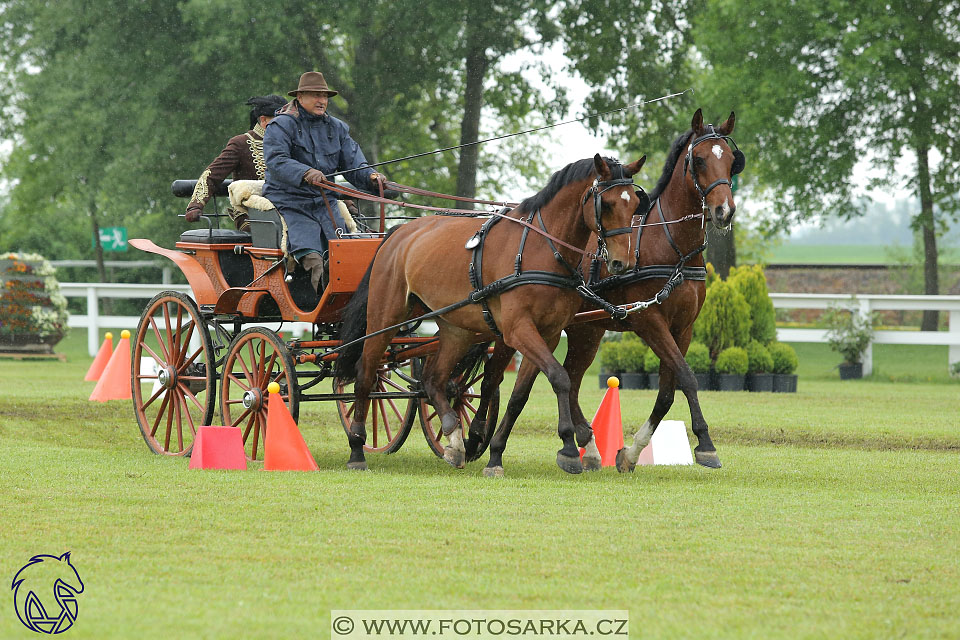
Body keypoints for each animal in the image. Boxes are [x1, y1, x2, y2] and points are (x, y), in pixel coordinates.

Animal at [336, 154, 644, 476]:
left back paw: (453, 439)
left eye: (636, 203)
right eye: (606, 204)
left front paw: (495, 452)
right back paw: (357, 447)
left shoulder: (545, 334)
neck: (541, 249)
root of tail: (397, 234)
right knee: (366, 374)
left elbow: (520, 394)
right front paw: (569, 449)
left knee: (434, 380)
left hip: (456, 329)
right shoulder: (519, 329)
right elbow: (560, 377)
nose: (621, 262)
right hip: (385, 318)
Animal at [488, 109, 744, 476]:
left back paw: (588, 447)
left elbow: (668, 391)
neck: (671, 248)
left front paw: (631, 453)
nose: (724, 211)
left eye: (732, 161)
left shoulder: (683, 327)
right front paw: (706, 445)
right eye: (699, 159)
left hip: (586, 332)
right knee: (497, 377)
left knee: (571, 379)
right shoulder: (649, 320)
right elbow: (687, 376)